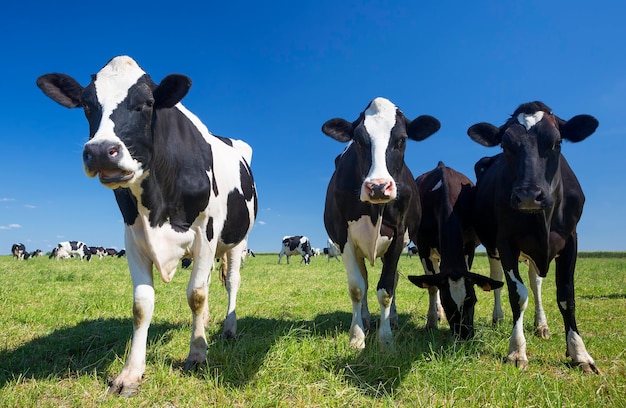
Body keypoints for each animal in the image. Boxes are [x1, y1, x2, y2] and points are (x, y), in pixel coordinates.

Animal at [36, 55, 258, 396]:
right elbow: (142, 305)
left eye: (147, 103)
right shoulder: (133, 238)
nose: (100, 151)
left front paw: (197, 355)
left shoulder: (204, 234)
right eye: (87, 104)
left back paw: (228, 329)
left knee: (231, 282)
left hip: (236, 240)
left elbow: (195, 295)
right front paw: (130, 373)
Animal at [322, 97, 438, 350]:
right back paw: (365, 318)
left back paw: (393, 318)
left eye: (402, 139)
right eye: (358, 139)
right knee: (364, 280)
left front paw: (386, 340)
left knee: (392, 279)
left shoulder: (398, 235)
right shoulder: (344, 237)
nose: (377, 186)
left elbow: (386, 289)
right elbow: (357, 288)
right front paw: (357, 337)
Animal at [404, 161, 502, 340]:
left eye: (472, 300)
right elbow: (432, 286)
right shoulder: (423, 247)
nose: (464, 335)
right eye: (447, 303)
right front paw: (431, 322)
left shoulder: (469, 245)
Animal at [466, 101, 596, 372]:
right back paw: (498, 317)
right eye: (505, 145)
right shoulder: (506, 242)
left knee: (536, 283)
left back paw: (541, 325)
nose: (528, 195)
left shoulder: (571, 239)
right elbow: (518, 295)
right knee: (497, 279)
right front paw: (516, 350)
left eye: (556, 142)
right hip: (493, 246)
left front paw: (579, 352)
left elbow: (566, 296)